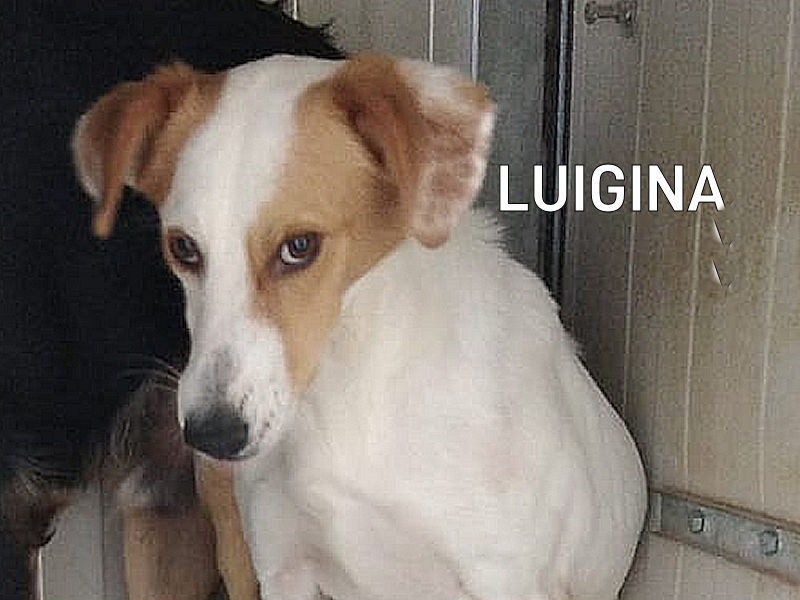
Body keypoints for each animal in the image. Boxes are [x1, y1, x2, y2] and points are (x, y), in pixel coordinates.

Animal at [72, 53, 647, 600]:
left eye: (300, 246)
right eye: (183, 248)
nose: (212, 435)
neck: (346, 391)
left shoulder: (506, 578)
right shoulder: (283, 569)